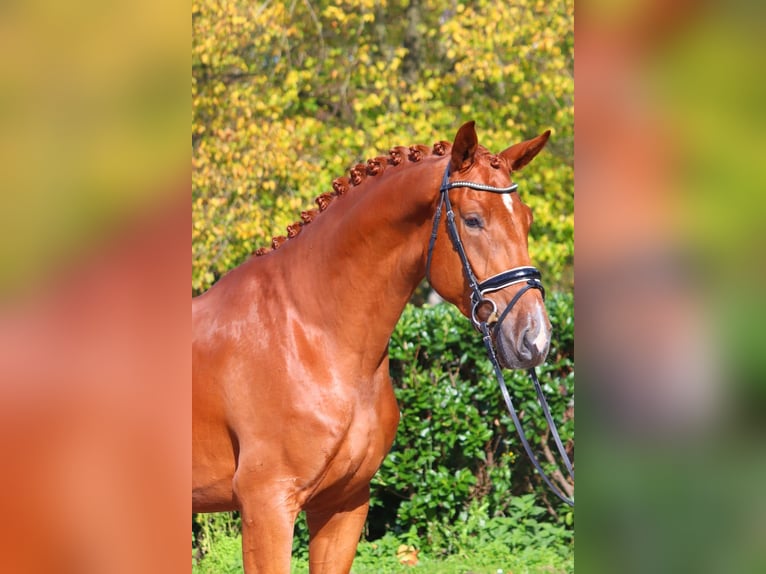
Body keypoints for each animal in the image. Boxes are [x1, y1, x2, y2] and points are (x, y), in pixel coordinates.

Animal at [192, 120, 552, 572]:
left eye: (527, 219)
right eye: (473, 220)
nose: (535, 338)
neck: (311, 335)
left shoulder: (344, 504)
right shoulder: (267, 506)